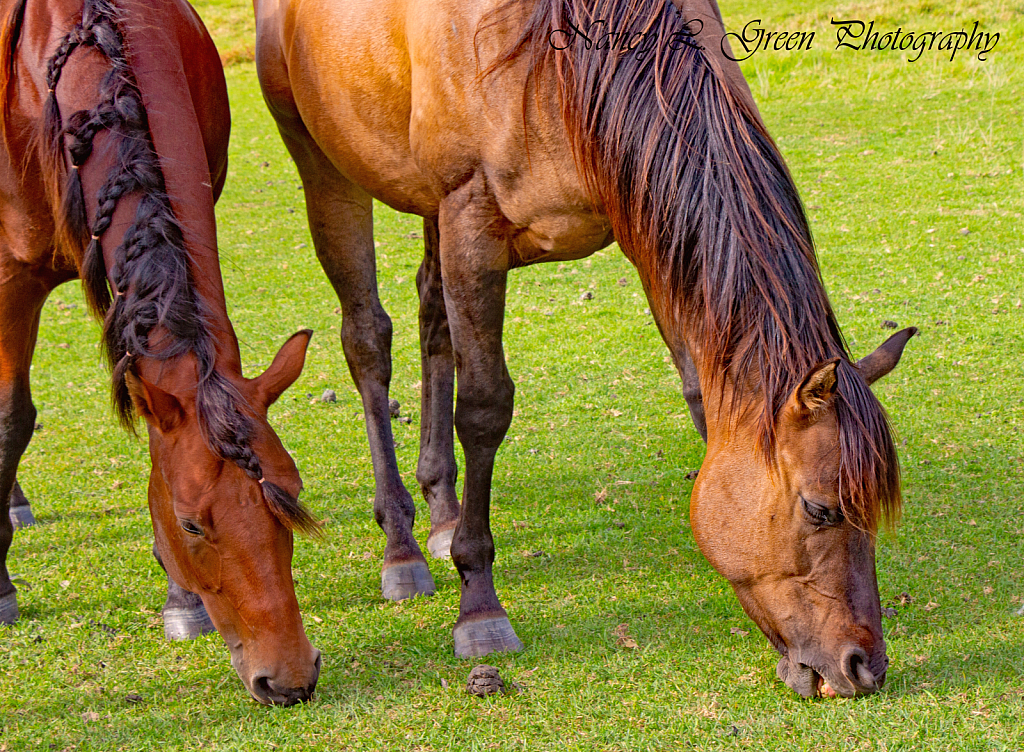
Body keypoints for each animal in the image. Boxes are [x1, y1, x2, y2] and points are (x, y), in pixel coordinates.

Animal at [1, 0, 319, 704]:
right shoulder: (11, 280)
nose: (289, 679)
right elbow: (10, 419)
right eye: (192, 524)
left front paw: (182, 600)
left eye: (288, 494)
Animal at [253, 0, 913, 696]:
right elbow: (483, 410)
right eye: (819, 509)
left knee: (432, 316)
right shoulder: (472, 223)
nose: (862, 664)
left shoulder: (645, 222)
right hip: (324, 169)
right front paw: (480, 608)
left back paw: (441, 513)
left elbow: (696, 392)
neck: (559, 61)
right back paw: (401, 546)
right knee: (367, 340)